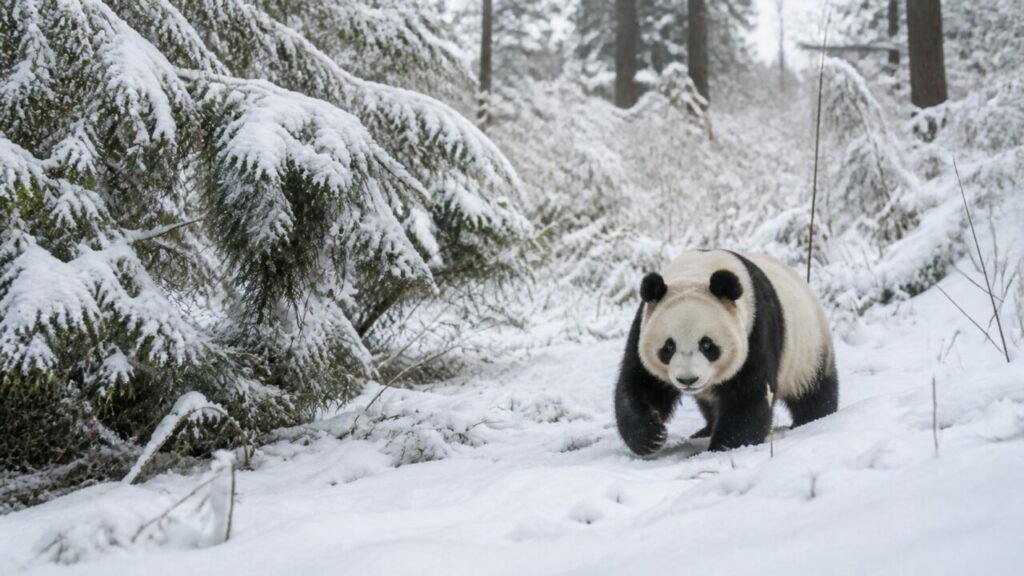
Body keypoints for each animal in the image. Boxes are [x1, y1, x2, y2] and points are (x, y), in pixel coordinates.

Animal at [614, 249, 838, 454]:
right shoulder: (643, 324)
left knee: (815, 392)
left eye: (707, 345)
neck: (696, 272)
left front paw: (721, 447)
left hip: (810, 350)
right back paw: (704, 430)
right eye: (668, 347)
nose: (688, 380)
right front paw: (651, 437)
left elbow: (749, 396)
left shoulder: (755, 329)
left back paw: (813, 419)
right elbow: (639, 384)